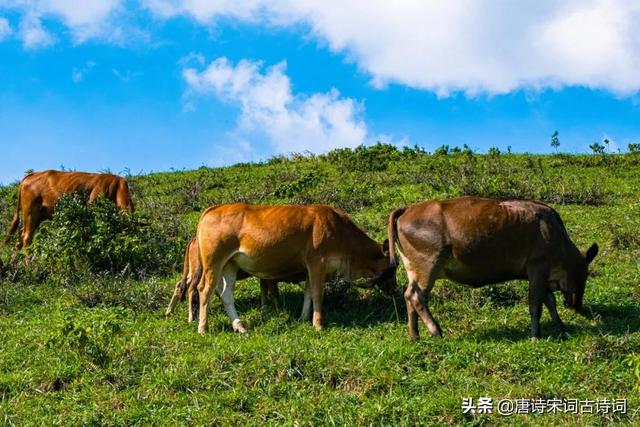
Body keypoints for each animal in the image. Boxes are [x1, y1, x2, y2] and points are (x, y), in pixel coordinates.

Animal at [4, 170, 135, 254]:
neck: (116, 188)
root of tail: (30, 176)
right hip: (30, 212)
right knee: (27, 238)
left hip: (38, 216)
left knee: (20, 238)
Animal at [192, 203, 392, 334]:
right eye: (391, 269)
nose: (395, 289)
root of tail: (214, 209)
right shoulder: (317, 262)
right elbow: (318, 294)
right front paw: (318, 325)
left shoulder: (310, 269)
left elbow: (308, 293)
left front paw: (304, 318)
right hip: (214, 261)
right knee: (205, 290)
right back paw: (203, 328)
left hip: (230, 265)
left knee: (226, 294)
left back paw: (239, 326)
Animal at [378, 196, 596, 342]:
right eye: (585, 274)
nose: (577, 305)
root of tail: (408, 208)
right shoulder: (538, 267)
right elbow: (536, 304)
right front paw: (536, 336)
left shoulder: (541, 275)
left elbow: (549, 301)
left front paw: (561, 326)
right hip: (428, 265)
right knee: (417, 296)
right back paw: (435, 331)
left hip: (413, 268)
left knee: (408, 295)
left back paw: (414, 335)